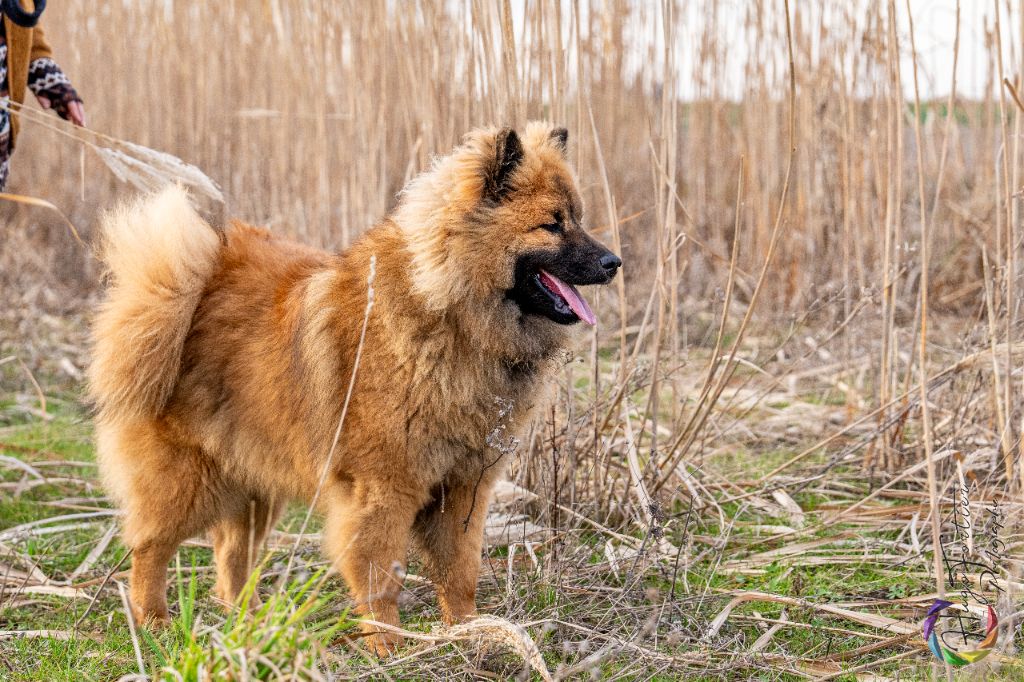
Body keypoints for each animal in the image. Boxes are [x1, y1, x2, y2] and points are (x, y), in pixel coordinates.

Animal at [88, 123, 614, 655]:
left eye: (578, 219)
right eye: (552, 225)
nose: (613, 262)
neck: (449, 314)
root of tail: (185, 289)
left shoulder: (464, 487)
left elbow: (460, 570)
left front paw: (471, 631)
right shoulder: (385, 488)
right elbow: (380, 575)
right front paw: (389, 646)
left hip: (253, 478)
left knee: (231, 555)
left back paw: (250, 623)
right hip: (187, 480)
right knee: (150, 548)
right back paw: (154, 620)